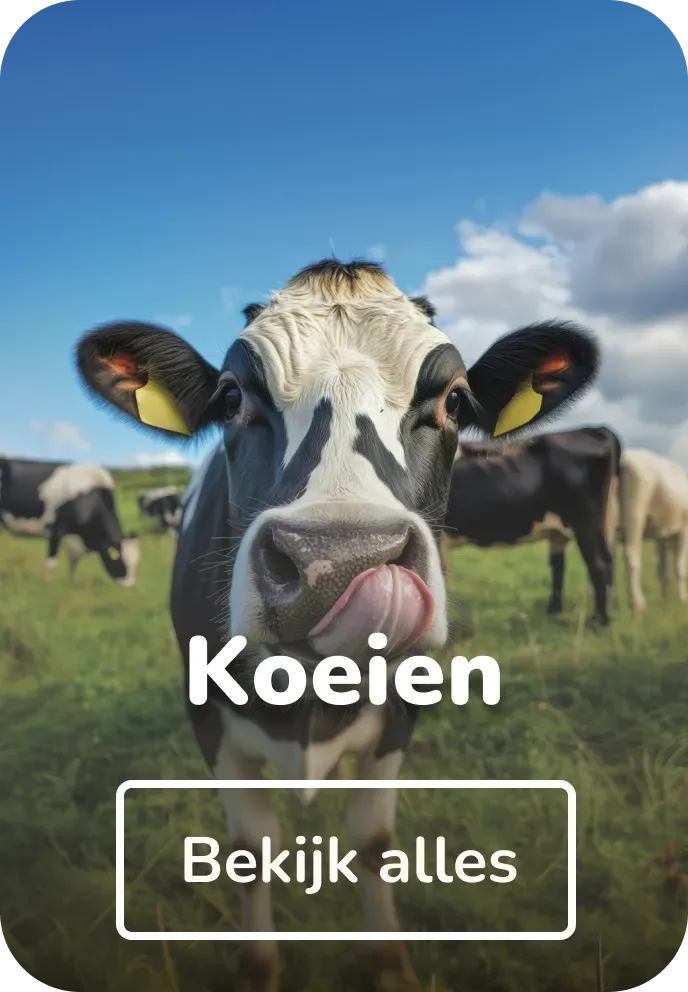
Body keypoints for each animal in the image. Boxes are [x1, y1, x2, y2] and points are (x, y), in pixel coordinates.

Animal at [0, 457, 140, 586]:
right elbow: (51, 562)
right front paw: (47, 585)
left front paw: (72, 585)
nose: (130, 584)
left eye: (136, 561)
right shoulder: (55, 530)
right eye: (119, 559)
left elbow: (73, 563)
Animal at [75, 258, 599, 990]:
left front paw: (390, 963)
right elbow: (249, 849)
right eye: (231, 398)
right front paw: (259, 967)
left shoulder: (404, 711)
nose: (337, 562)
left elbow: (373, 840)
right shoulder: (206, 717)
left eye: (456, 402)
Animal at [442, 426, 621, 625]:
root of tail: (597, 429)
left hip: (585, 521)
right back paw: (558, 611)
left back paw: (599, 621)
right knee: (586, 562)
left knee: (598, 564)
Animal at [616, 448, 688, 616]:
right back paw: (637, 604)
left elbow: (662, 570)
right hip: (635, 515)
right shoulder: (684, 530)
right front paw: (682, 600)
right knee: (631, 556)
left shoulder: (661, 536)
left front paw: (665, 600)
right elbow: (679, 567)